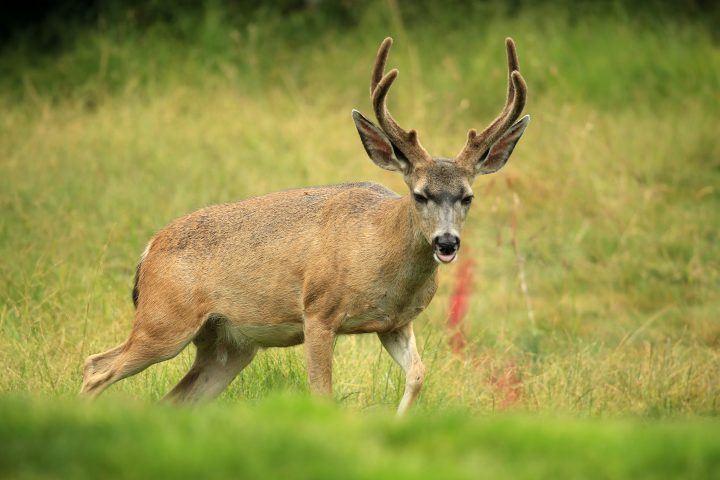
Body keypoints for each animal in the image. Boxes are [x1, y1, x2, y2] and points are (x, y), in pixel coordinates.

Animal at [80, 37, 529, 415]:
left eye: (467, 197)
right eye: (420, 194)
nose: (447, 243)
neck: (379, 246)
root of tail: (148, 251)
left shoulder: (395, 323)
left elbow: (418, 374)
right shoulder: (317, 310)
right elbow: (321, 392)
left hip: (227, 344)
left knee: (173, 399)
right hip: (165, 319)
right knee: (96, 367)